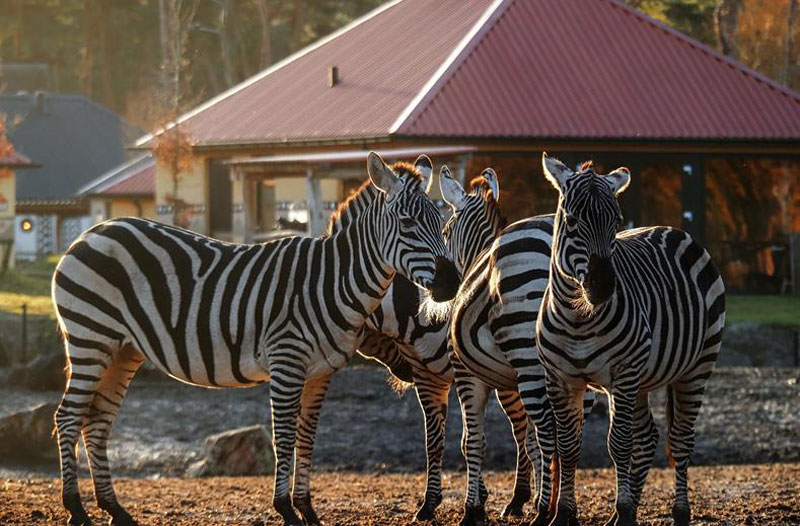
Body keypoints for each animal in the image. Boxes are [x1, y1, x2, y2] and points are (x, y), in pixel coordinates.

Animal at [51, 153, 456, 526]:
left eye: (442, 224)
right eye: (408, 222)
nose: (450, 284)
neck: (332, 280)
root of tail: (91, 233)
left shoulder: (321, 371)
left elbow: (307, 436)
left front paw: (308, 510)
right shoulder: (286, 361)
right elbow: (285, 436)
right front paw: (286, 510)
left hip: (122, 349)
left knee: (97, 420)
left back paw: (114, 509)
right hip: (90, 337)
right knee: (68, 416)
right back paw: (76, 508)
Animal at [328, 164, 540, 524]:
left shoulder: (457, 375)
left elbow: (468, 439)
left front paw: (474, 502)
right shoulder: (430, 377)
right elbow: (435, 441)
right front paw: (433, 503)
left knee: (526, 426)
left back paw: (526, 498)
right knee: (523, 426)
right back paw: (522, 498)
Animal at [536, 155, 728, 526]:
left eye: (616, 221)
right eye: (572, 220)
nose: (603, 287)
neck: (578, 316)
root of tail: (674, 229)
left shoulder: (623, 371)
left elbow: (619, 444)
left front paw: (624, 511)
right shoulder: (560, 378)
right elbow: (568, 447)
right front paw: (564, 514)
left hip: (695, 368)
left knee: (680, 439)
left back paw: (679, 512)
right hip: (641, 379)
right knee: (649, 435)